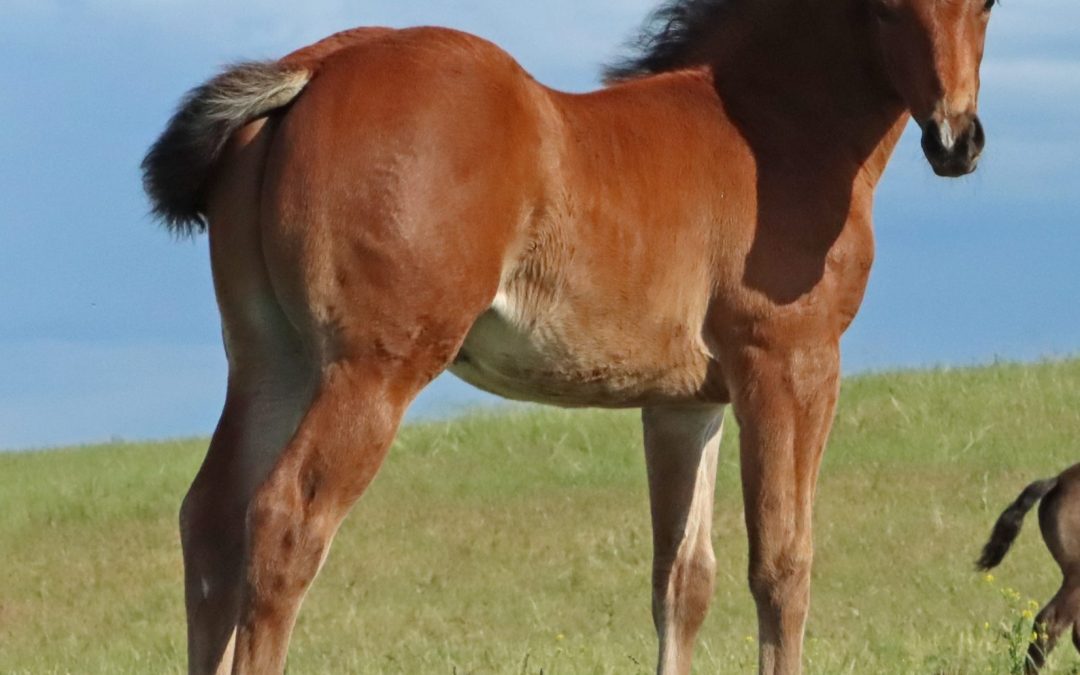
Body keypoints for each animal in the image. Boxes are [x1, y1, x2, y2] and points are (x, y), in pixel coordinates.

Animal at [143, 1, 993, 673]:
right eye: (885, 8)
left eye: (984, 4)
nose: (956, 139)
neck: (766, 127)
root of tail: (316, 66)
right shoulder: (790, 365)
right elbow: (782, 563)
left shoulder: (687, 402)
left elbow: (683, 579)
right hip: (370, 368)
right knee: (284, 521)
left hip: (271, 359)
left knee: (212, 521)